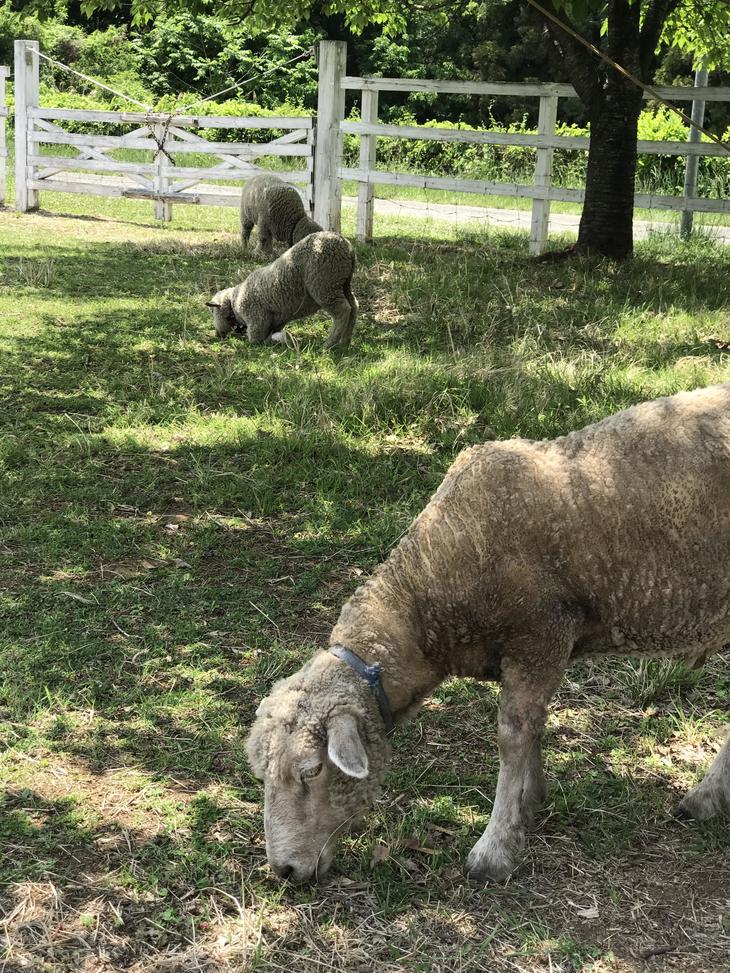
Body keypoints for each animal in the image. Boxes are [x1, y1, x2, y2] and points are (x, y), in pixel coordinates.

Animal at [207, 231, 358, 349]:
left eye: (213, 313)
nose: (217, 335)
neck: (235, 301)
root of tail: (346, 245)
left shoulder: (257, 320)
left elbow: (256, 340)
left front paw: (271, 341)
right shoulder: (277, 321)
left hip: (324, 284)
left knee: (343, 310)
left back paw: (329, 344)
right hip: (342, 283)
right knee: (353, 306)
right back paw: (345, 342)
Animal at [246, 382, 730, 884]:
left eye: (311, 771)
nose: (283, 869)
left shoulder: (539, 637)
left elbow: (511, 737)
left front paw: (494, 848)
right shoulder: (529, 653)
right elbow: (532, 729)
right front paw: (529, 803)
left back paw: (703, 798)